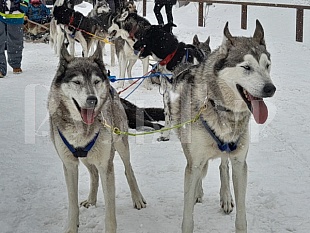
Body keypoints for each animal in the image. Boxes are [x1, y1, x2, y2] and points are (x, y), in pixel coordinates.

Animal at [47, 44, 147, 233]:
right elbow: (72, 204)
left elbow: (110, 212)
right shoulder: (70, 165)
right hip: (87, 157)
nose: (92, 99)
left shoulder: (105, 165)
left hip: (120, 144)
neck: (81, 128)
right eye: (77, 82)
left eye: (96, 81)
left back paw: (137, 198)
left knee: (128, 169)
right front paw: (72, 227)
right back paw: (91, 200)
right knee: (93, 174)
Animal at [170, 20, 276, 233]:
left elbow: (241, 216)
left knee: (223, 166)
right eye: (246, 67)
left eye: (267, 66)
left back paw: (226, 196)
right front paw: (194, 196)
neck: (219, 107)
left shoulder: (239, 163)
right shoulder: (194, 162)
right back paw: (198, 191)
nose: (270, 88)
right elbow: (187, 216)